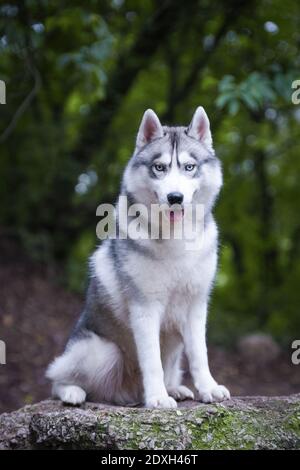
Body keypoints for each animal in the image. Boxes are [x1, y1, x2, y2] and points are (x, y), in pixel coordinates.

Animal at [46, 106, 230, 408]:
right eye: (160, 167)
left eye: (189, 167)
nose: (175, 197)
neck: (175, 238)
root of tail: (128, 394)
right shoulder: (145, 307)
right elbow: (151, 360)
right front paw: (157, 398)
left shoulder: (195, 306)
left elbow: (200, 355)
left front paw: (208, 388)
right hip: (101, 352)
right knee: (56, 379)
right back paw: (72, 392)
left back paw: (175, 388)